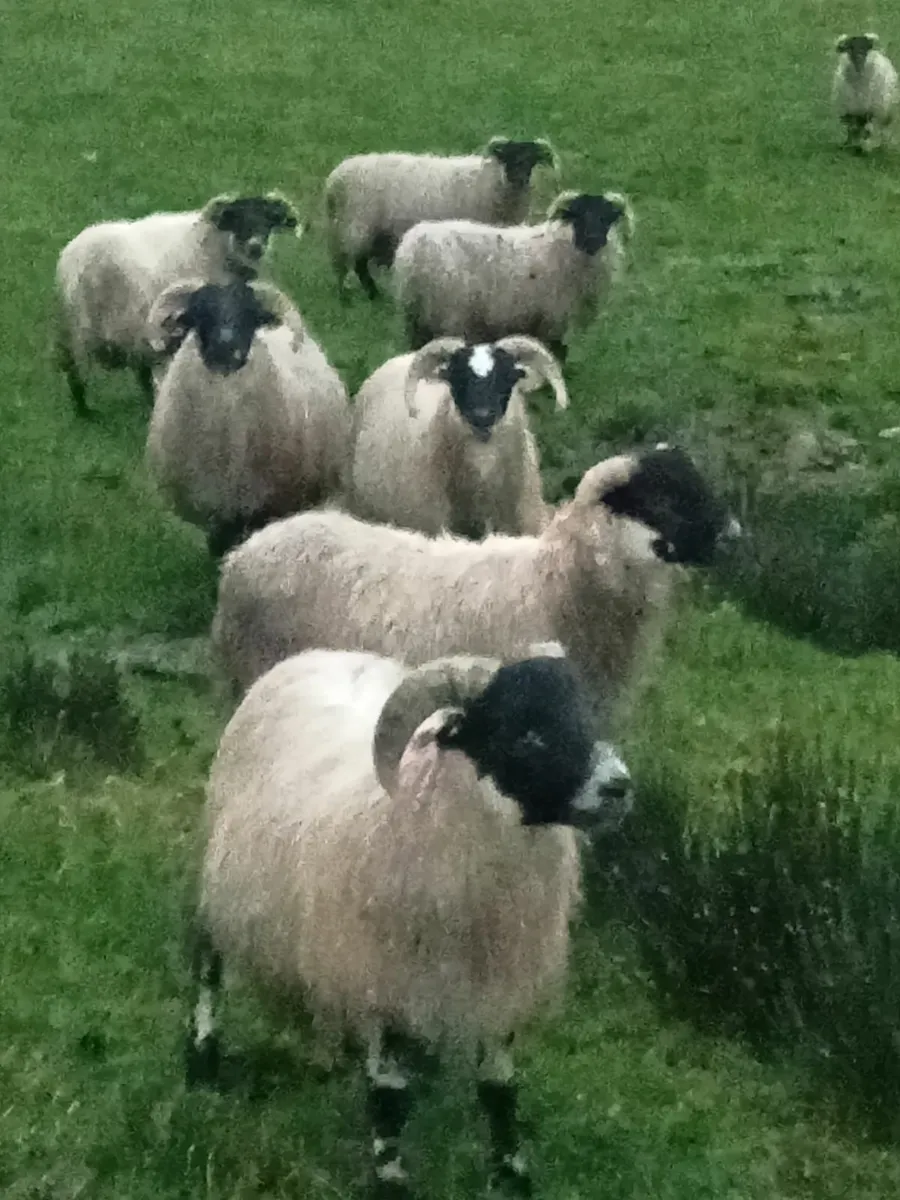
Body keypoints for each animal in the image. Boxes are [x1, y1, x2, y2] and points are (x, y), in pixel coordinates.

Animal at [53, 192, 302, 416]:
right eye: (237, 219)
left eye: (268, 219)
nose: (256, 247)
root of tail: (71, 254)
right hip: (80, 331)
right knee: (74, 371)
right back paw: (86, 413)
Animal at [144, 276, 350, 558]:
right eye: (199, 312)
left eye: (250, 315)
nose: (226, 347)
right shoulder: (215, 501)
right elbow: (217, 544)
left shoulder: (260, 500)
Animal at [186, 647, 634, 1197]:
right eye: (525, 732)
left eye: (582, 714)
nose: (619, 786)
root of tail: (321, 654)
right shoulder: (386, 981)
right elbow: (389, 1095)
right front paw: (391, 1177)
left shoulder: (497, 984)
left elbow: (499, 1086)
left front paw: (511, 1173)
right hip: (222, 883)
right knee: (207, 962)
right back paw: (202, 1058)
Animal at [324, 137, 560, 301]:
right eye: (508, 157)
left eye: (531, 160)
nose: (516, 178)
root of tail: (334, 180)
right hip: (357, 227)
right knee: (358, 265)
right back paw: (369, 297)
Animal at [393, 189, 635, 362]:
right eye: (578, 215)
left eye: (607, 218)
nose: (594, 239)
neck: (564, 249)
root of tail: (414, 246)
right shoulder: (553, 318)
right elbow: (557, 354)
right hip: (449, 314)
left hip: (417, 316)